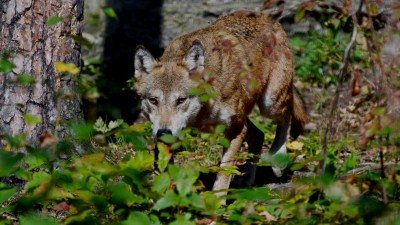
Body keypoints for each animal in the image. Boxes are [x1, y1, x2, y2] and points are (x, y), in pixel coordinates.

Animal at [134, 10, 306, 193]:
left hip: (270, 103)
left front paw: (217, 198)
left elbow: (224, 172)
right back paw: (247, 179)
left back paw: (278, 160)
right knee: (259, 134)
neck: (201, 113)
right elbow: (164, 167)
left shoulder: (236, 129)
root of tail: (267, 16)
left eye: (181, 100)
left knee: (286, 115)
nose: (163, 132)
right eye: (153, 100)